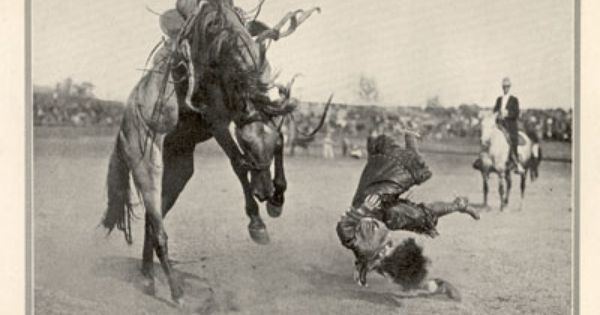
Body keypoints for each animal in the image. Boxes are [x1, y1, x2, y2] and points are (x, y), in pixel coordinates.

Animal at [100, 0, 326, 306]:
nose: (264, 192)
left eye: (266, 148)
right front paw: (257, 224)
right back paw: (176, 292)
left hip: (179, 170)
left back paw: (148, 278)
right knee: (158, 226)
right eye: (247, 144)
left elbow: (279, 138)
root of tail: (123, 127)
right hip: (146, 165)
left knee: (151, 220)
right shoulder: (215, 119)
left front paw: (277, 200)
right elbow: (238, 163)